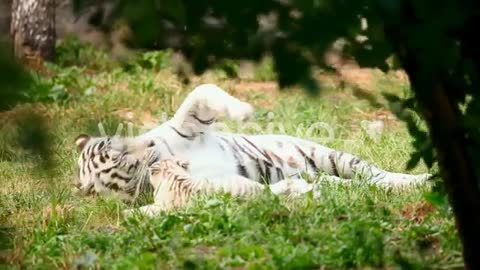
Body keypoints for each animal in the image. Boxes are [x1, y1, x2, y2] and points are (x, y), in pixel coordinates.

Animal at [74, 83, 432, 201]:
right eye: (123, 160)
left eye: (117, 143)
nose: (148, 145)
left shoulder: (185, 125)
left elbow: (203, 91)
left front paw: (243, 111)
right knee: (359, 183)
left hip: (329, 155)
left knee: (378, 175)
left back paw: (423, 178)